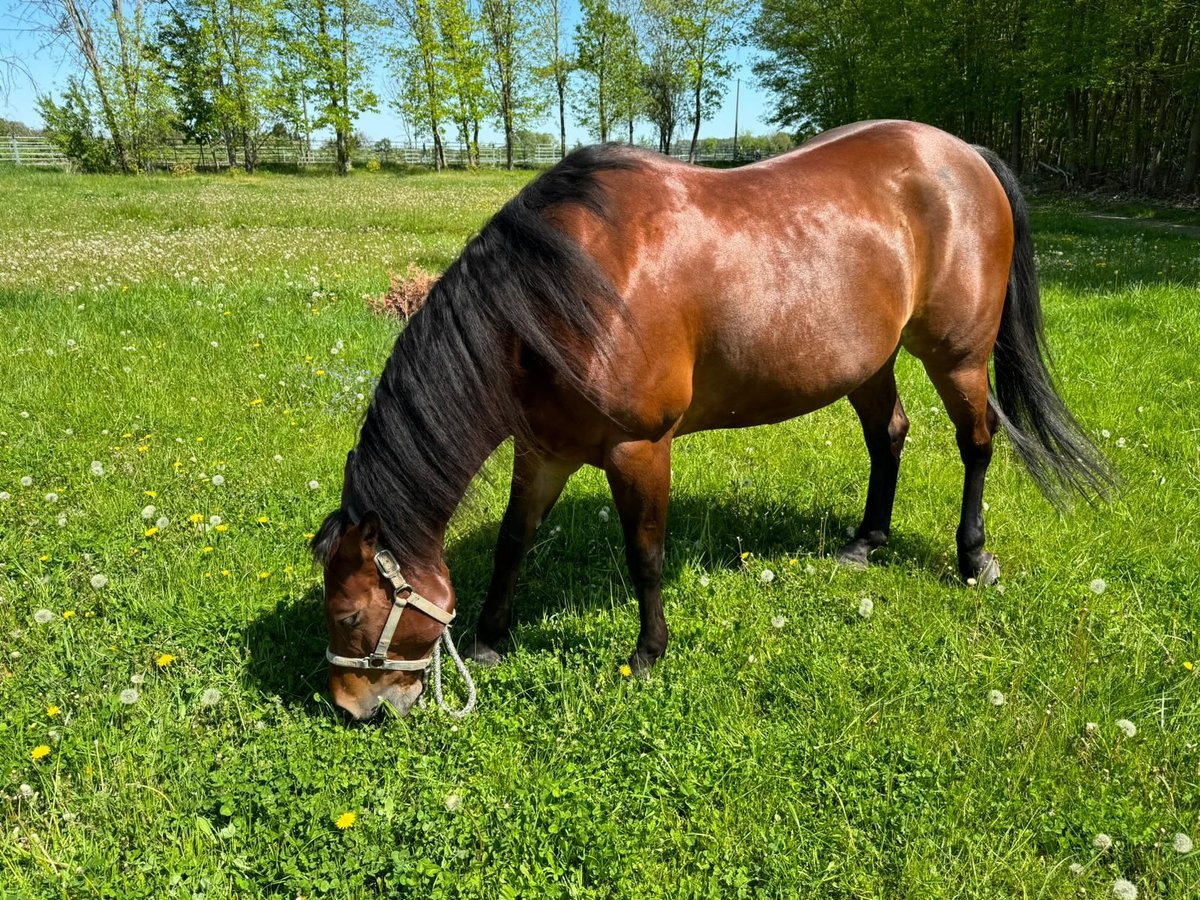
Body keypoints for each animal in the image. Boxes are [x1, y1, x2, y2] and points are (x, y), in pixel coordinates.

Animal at [312, 120, 1104, 724]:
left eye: (349, 616)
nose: (353, 707)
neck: (562, 292)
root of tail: (966, 155)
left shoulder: (638, 449)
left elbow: (645, 555)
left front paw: (647, 654)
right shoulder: (543, 450)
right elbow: (513, 542)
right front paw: (487, 638)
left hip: (959, 357)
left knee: (977, 446)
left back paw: (973, 559)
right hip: (868, 363)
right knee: (889, 437)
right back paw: (865, 542)